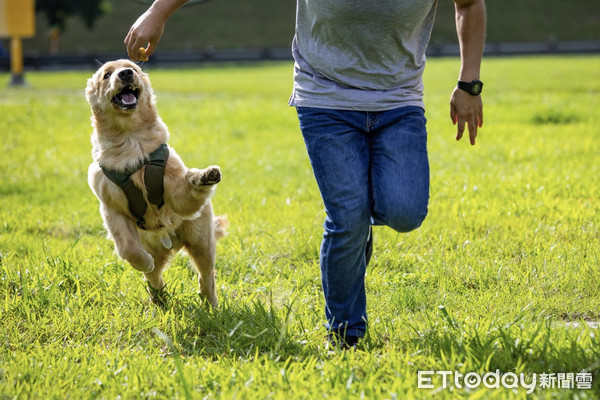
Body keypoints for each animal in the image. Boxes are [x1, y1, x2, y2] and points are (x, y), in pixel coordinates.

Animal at [84, 59, 225, 306]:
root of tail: (170, 241)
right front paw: (143, 261)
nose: (126, 73)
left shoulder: (176, 192)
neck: (130, 138)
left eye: (133, 68)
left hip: (201, 239)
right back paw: (158, 297)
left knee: (206, 274)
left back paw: (211, 304)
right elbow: (128, 248)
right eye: (106, 75)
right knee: (154, 275)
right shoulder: (111, 208)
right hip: (156, 248)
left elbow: (185, 190)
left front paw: (204, 176)